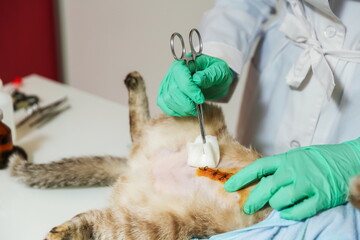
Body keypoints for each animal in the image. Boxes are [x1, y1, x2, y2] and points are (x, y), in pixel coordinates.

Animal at [7, 72, 360, 239]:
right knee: (141, 125)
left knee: (92, 220)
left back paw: (60, 231)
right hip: (202, 114)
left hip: (156, 225)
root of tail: (136, 166)